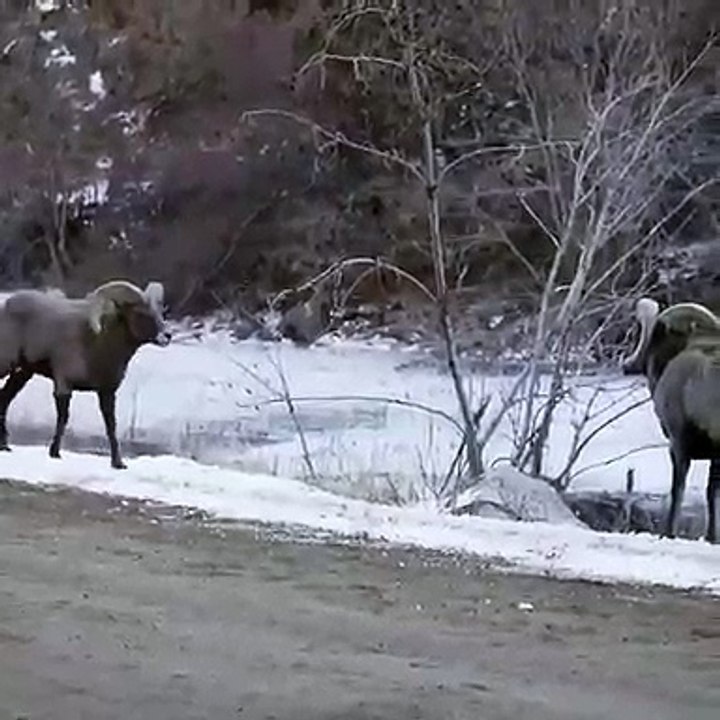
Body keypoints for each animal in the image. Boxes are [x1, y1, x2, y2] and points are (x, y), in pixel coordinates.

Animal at [0, 279, 171, 469]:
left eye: (160, 312)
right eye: (141, 313)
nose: (167, 336)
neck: (98, 344)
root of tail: (6, 306)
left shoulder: (106, 392)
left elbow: (111, 425)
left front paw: (118, 463)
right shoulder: (64, 385)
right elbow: (63, 419)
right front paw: (55, 453)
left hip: (23, 373)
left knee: (4, 399)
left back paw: (5, 446)